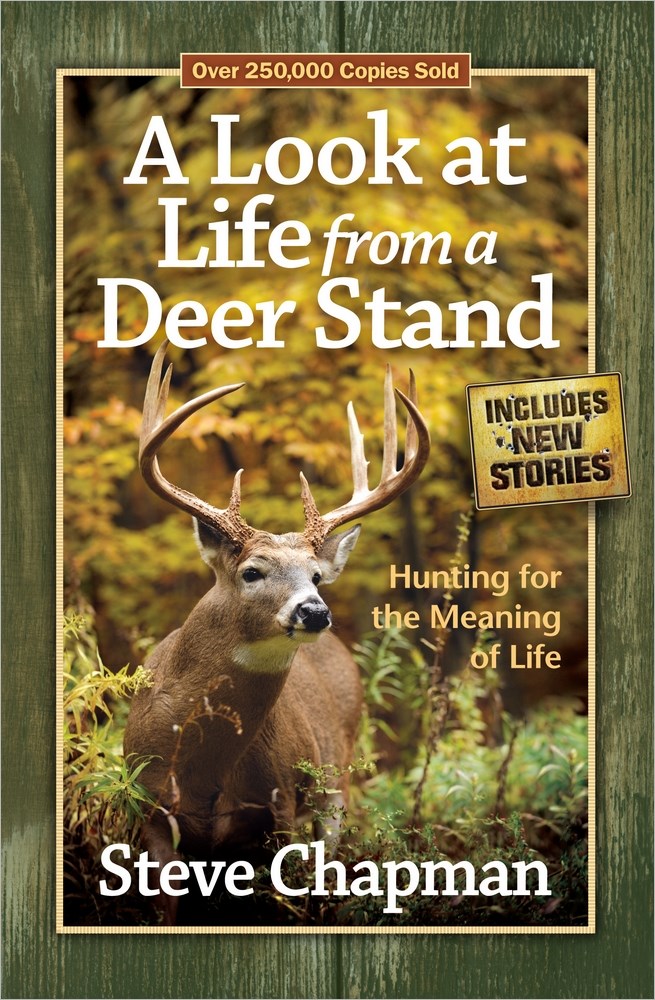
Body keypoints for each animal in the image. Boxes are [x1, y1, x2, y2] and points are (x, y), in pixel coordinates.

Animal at [123, 344, 430, 923]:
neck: (203, 769)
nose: (314, 611)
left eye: (315, 575)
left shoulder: (278, 807)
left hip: (336, 782)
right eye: (252, 572)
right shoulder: (150, 815)